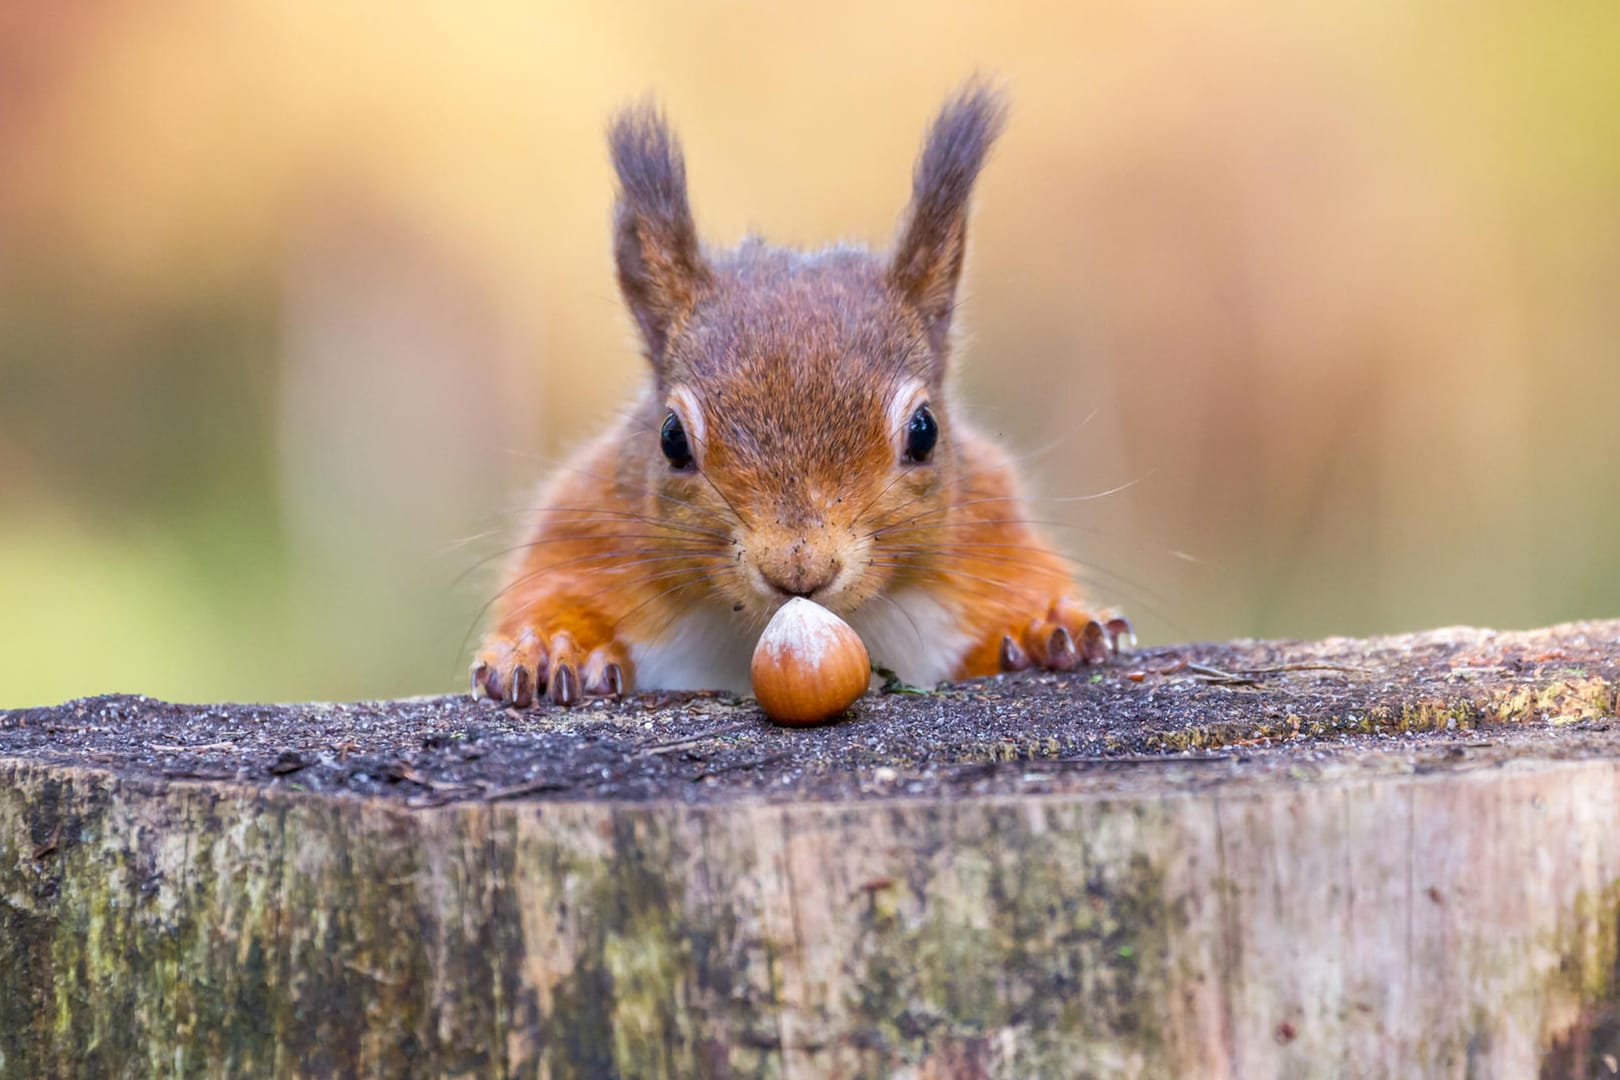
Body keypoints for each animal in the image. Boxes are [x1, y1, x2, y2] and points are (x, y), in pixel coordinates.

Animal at [469, 86, 1127, 709]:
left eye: (925, 432)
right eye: (671, 439)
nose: (799, 567)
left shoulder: (989, 530)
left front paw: (1050, 627)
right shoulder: (588, 527)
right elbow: (554, 587)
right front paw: (549, 647)